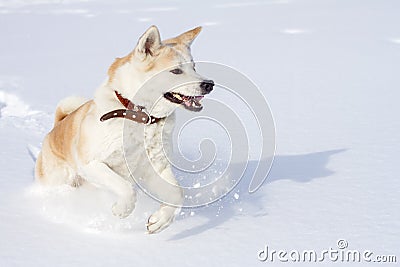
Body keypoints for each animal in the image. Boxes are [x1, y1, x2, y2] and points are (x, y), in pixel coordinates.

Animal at [36, 25, 214, 234]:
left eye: (194, 67)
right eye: (176, 71)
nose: (209, 84)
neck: (142, 118)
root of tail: (57, 125)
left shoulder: (156, 167)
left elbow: (177, 193)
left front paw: (160, 220)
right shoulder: (91, 164)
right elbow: (127, 188)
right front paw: (122, 209)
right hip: (60, 180)